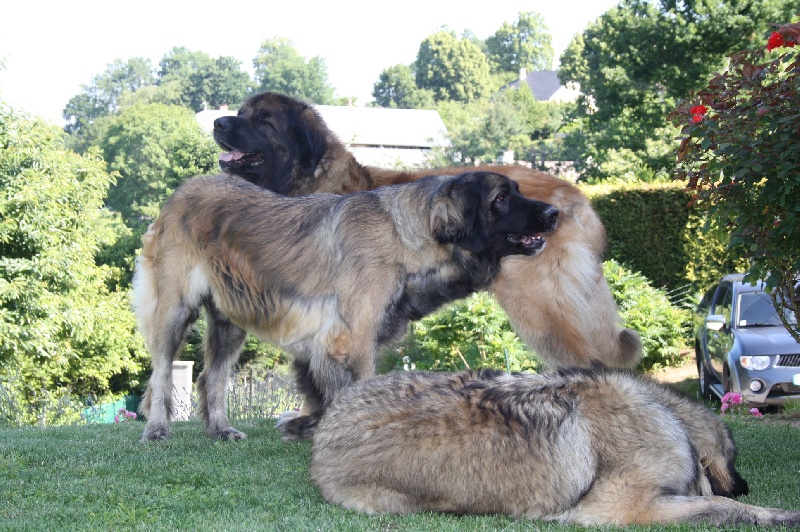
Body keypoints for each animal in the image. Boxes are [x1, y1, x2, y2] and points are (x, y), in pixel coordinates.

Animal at [133, 172, 559, 442]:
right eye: (501, 198)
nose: (555, 214)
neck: (406, 236)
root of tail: (180, 191)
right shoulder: (353, 338)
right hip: (174, 311)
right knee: (161, 372)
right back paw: (156, 429)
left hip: (230, 319)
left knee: (213, 377)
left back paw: (220, 429)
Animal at [310, 367, 800, 527]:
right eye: (735, 460)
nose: (745, 482)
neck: (671, 419)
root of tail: (326, 425)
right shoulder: (625, 509)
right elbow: (724, 508)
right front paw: (777, 514)